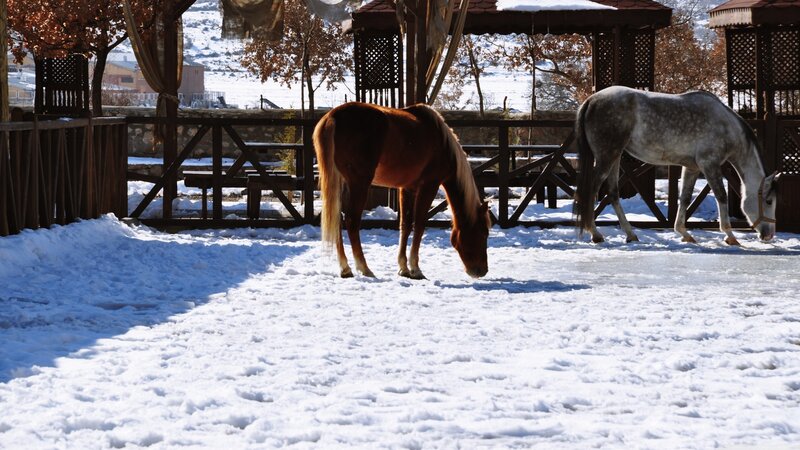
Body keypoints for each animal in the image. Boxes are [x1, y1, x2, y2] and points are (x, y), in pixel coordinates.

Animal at [313, 102, 490, 279]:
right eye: (483, 233)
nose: (481, 271)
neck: (442, 143)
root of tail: (333, 116)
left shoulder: (407, 188)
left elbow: (405, 224)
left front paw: (403, 267)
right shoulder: (429, 186)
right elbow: (419, 224)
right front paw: (415, 268)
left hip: (341, 183)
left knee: (337, 218)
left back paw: (345, 268)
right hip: (359, 184)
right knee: (351, 221)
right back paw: (364, 268)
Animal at [573, 86, 779, 246]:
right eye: (768, 201)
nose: (769, 235)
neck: (725, 126)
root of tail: (591, 100)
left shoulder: (693, 167)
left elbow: (685, 198)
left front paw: (684, 233)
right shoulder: (710, 165)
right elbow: (721, 196)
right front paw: (729, 235)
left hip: (614, 157)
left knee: (613, 193)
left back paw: (630, 234)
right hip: (607, 157)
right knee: (592, 189)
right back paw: (595, 234)